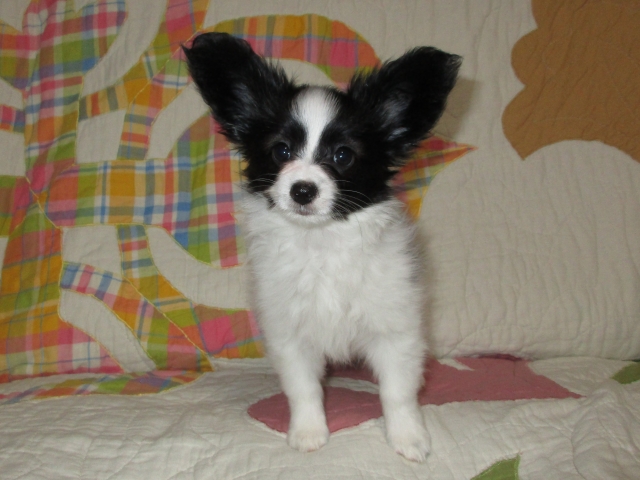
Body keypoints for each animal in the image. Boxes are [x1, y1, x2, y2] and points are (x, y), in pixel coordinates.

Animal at [183, 32, 460, 462]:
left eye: (342, 155)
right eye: (281, 151)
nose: (302, 189)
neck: (320, 241)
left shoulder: (395, 328)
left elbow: (397, 392)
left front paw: (408, 438)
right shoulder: (289, 332)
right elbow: (304, 390)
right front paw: (309, 433)